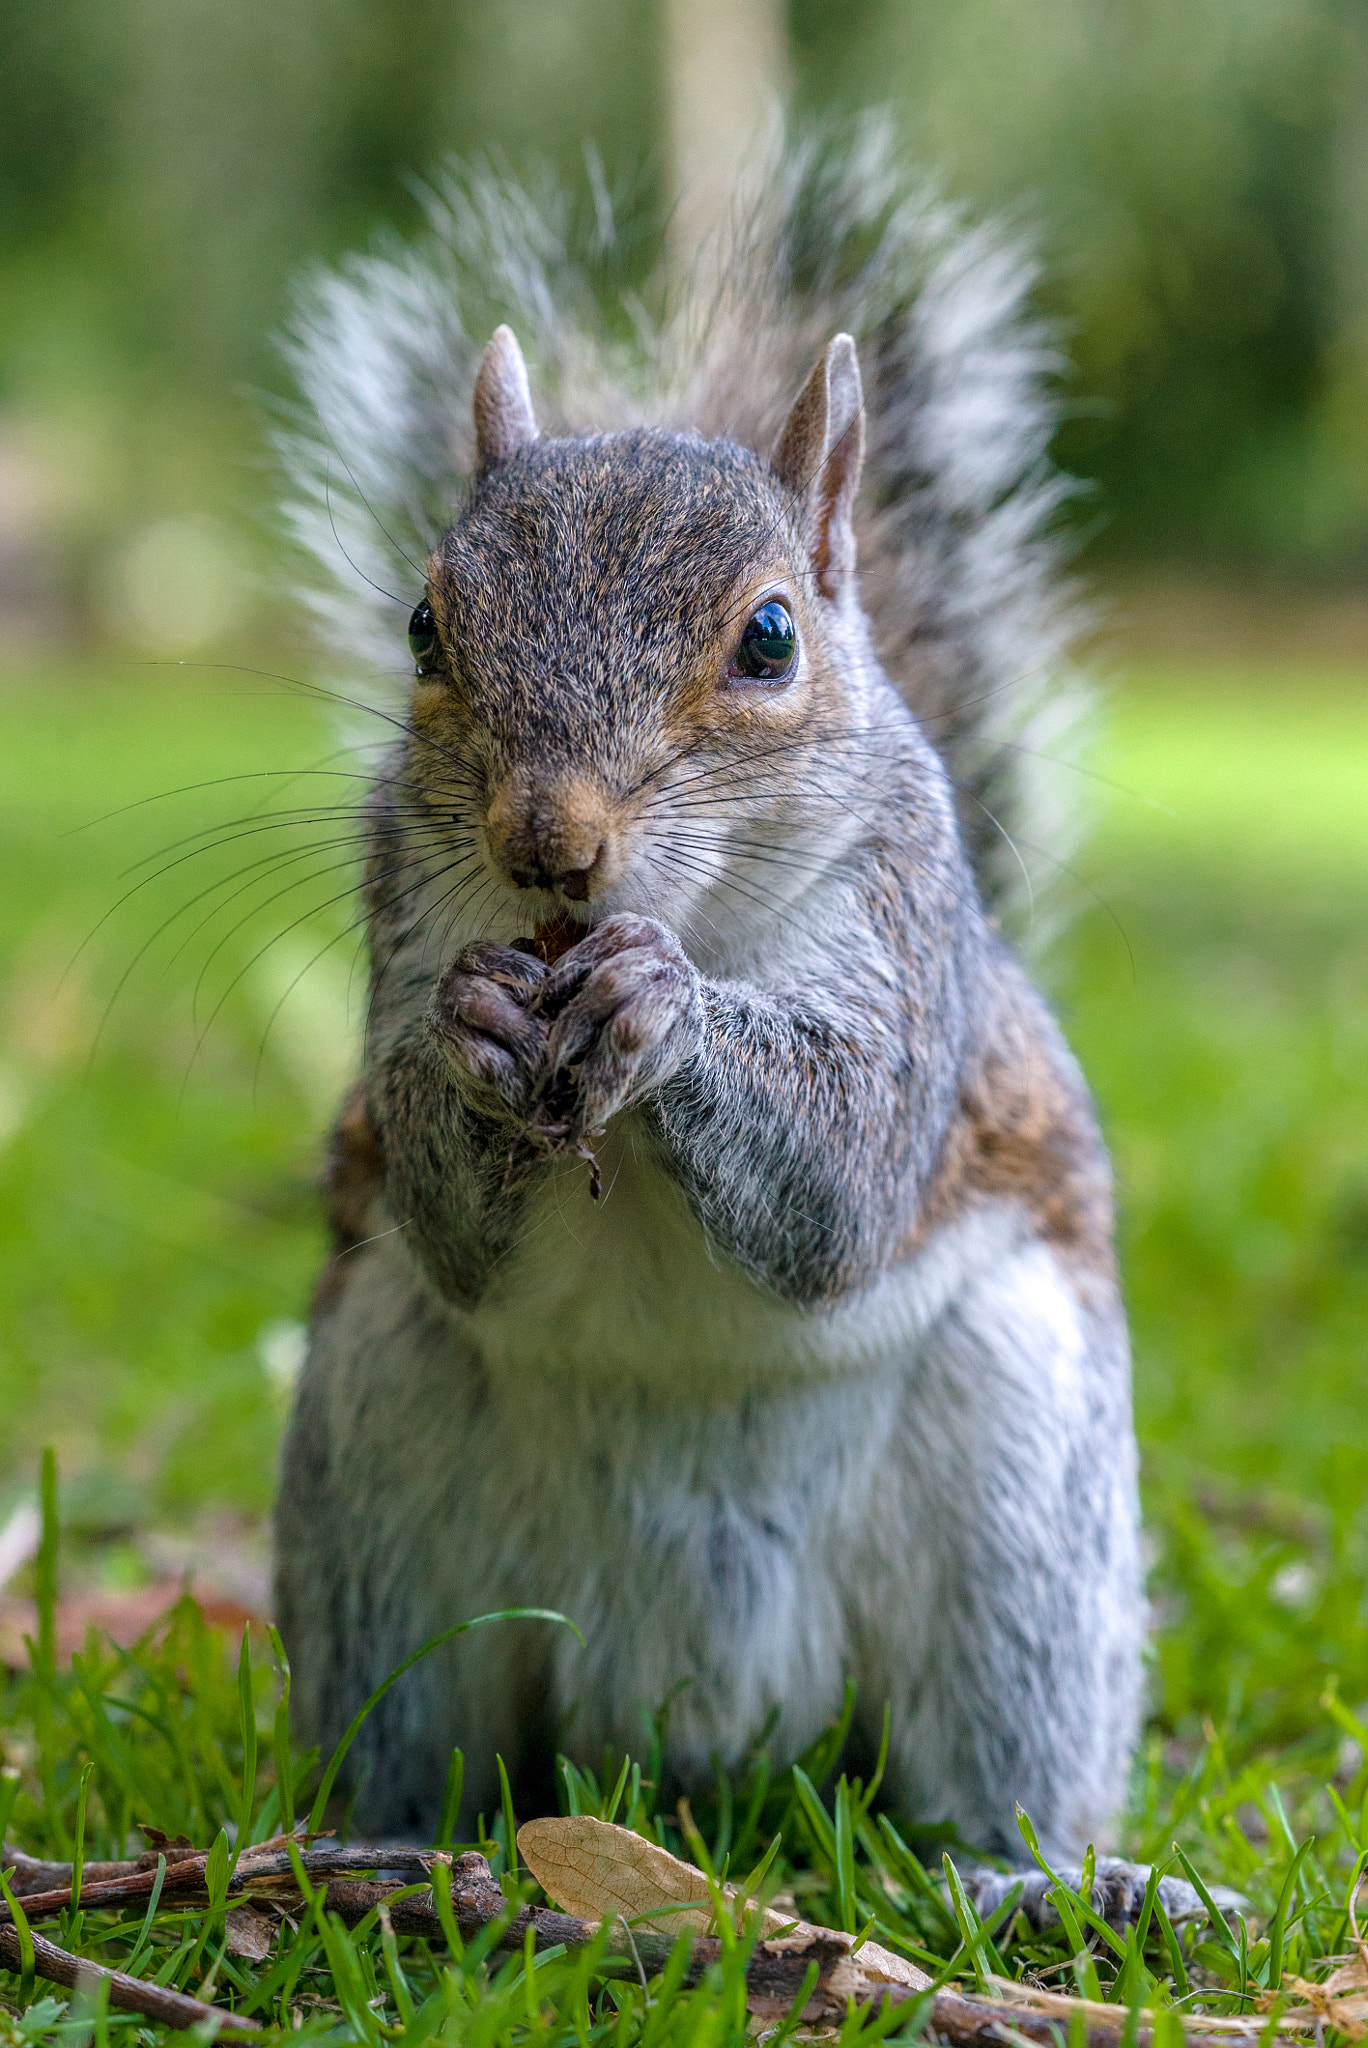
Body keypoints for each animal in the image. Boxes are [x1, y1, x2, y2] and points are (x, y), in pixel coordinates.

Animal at [270, 128, 1163, 1916]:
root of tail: (695, 1728)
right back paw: (381, 1848)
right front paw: (473, 1042)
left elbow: (848, 1178)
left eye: (769, 638)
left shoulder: (909, 944)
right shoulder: (397, 917)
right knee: (419, 1724)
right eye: (424, 628)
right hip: (379, 1476)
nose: (548, 847)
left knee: (994, 1762)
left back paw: (1035, 1882)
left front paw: (666, 1012)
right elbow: (444, 1203)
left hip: (1019, 1506)